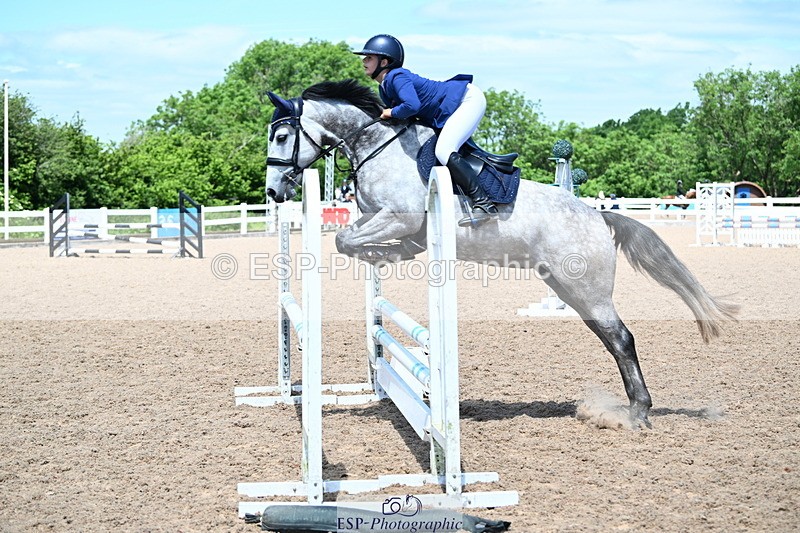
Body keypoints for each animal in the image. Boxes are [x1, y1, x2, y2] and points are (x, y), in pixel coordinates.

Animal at [264, 79, 738, 429]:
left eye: (283, 136)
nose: (273, 192)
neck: (376, 145)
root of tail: (599, 216)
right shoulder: (387, 221)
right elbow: (350, 238)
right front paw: (385, 257)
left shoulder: (398, 218)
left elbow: (346, 240)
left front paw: (383, 256)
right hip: (570, 289)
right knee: (610, 338)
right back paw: (630, 408)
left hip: (586, 287)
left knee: (621, 338)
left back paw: (637, 414)